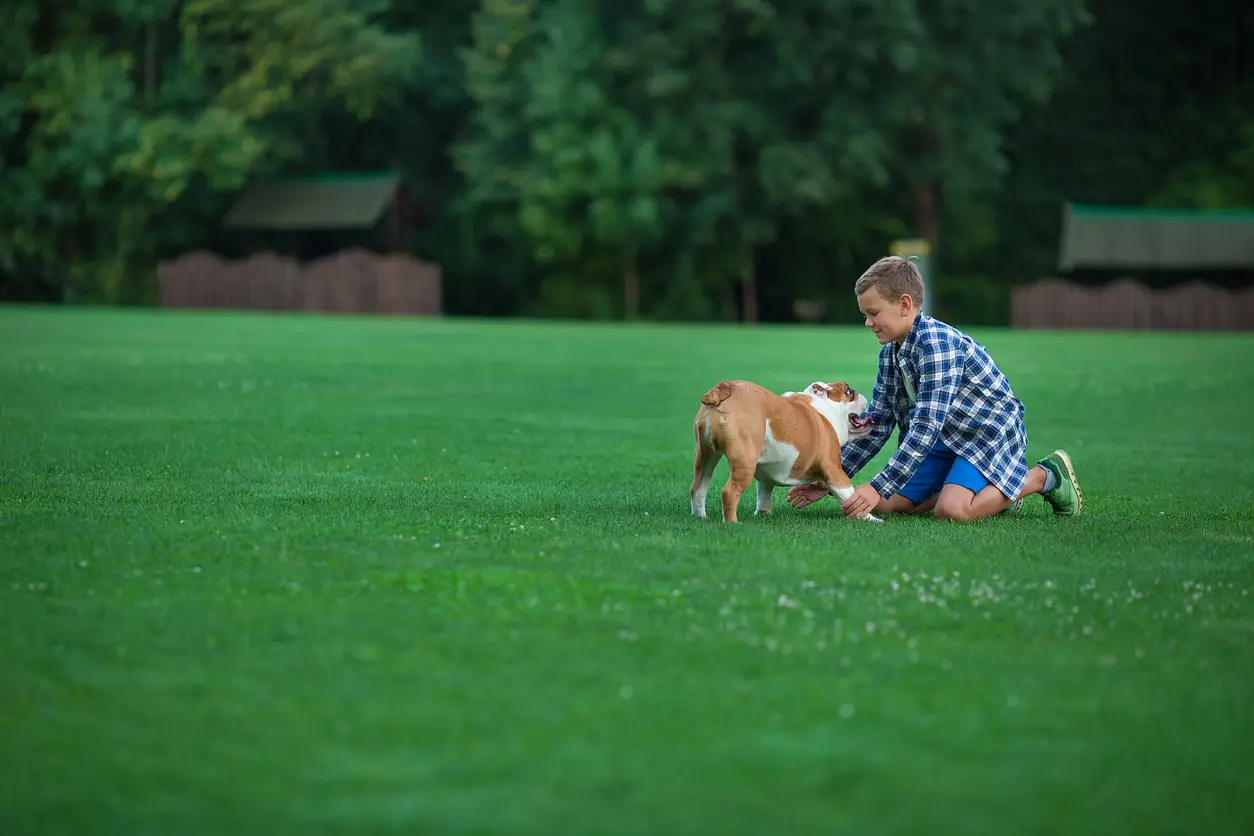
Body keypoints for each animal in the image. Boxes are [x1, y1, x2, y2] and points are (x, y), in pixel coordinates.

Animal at [692, 378, 877, 523]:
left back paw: (701, 517)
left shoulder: (765, 476)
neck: (825, 410)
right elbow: (849, 497)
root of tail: (727, 387)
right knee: (729, 492)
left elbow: (764, 494)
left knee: (698, 487)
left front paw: (763, 514)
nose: (861, 394)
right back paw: (732, 523)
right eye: (849, 392)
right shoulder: (834, 470)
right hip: (744, 461)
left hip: (705, 454)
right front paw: (872, 519)